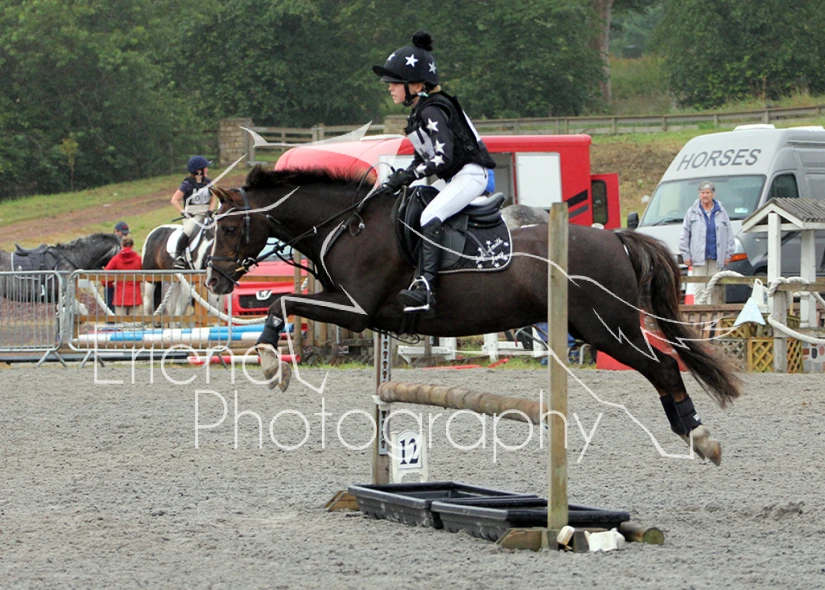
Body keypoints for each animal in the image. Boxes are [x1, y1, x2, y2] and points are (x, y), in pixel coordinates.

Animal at [205, 166, 742, 465]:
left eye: (229, 229)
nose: (214, 281)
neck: (348, 224)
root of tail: (614, 237)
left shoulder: (355, 310)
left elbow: (282, 303)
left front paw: (270, 362)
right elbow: (287, 303)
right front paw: (273, 362)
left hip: (607, 328)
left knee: (664, 366)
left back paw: (700, 437)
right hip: (597, 326)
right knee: (664, 365)